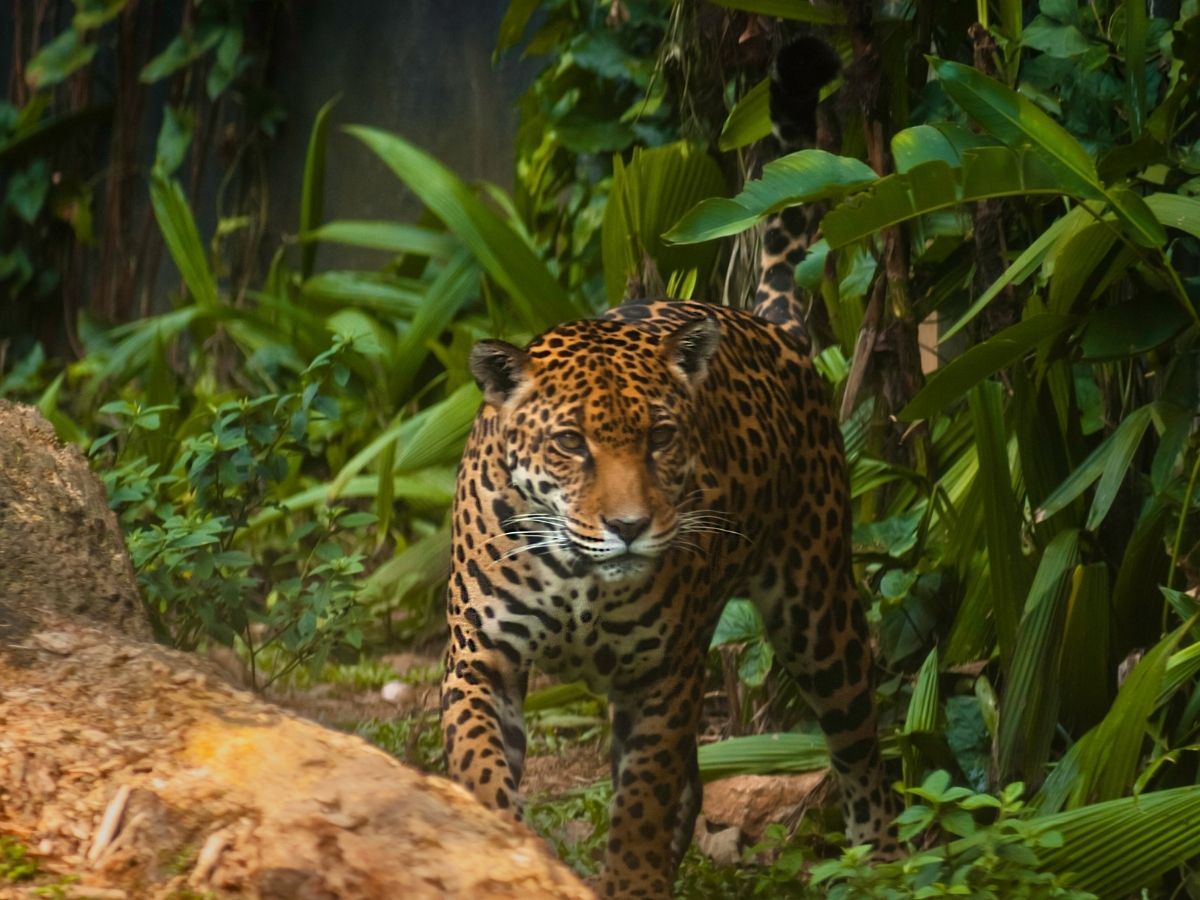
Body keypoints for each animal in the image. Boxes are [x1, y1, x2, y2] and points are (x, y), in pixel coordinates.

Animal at [440, 35, 897, 899]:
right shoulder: (481, 658)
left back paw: (886, 862)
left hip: (818, 608)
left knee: (861, 743)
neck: (577, 573)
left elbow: (643, 810)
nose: (629, 528)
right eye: (571, 444)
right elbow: (481, 768)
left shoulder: (660, 679)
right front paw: (498, 842)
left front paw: (632, 880)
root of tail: (771, 327)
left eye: (659, 439)